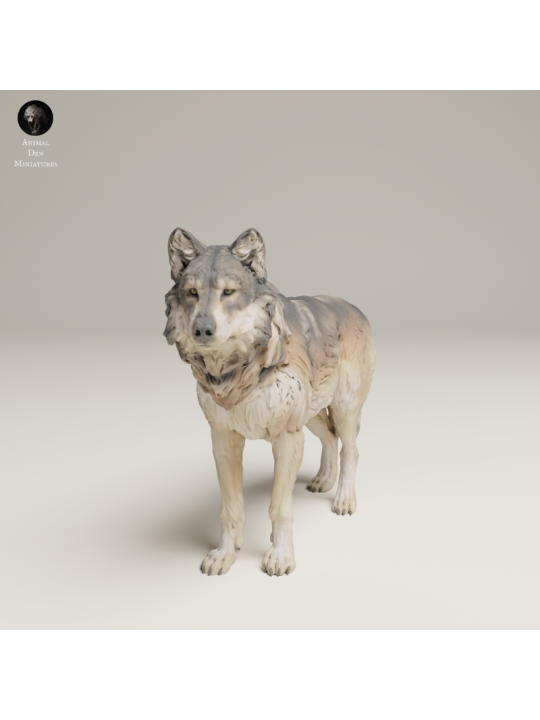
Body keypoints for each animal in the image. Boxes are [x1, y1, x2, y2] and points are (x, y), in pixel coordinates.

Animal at [164, 228, 376, 576]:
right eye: (192, 292)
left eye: (228, 292)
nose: (202, 330)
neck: (237, 372)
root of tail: (353, 307)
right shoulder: (223, 438)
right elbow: (230, 508)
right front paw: (224, 555)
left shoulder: (287, 437)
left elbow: (279, 507)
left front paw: (280, 557)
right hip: (312, 414)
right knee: (330, 438)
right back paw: (323, 481)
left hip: (343, 408)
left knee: (351, 448)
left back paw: (344, 499)